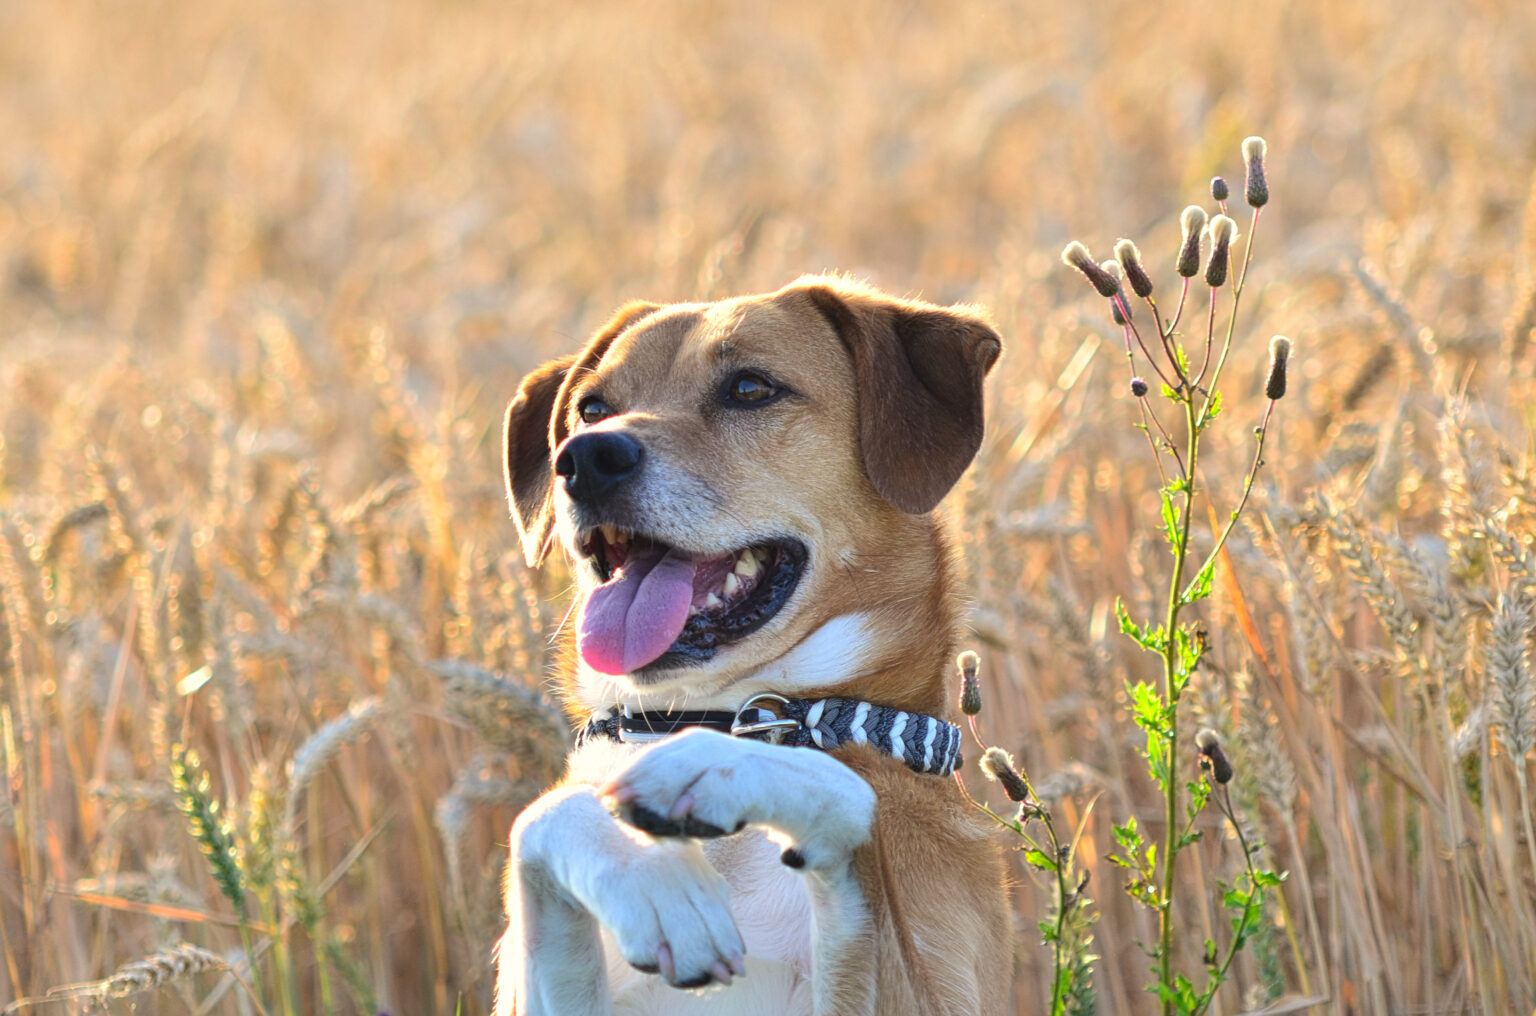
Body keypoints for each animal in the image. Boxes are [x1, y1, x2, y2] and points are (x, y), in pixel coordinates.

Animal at [497, 273, 1013, 1008]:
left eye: (749, 388)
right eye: (591, 408)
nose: (586, 459)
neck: (706, 710)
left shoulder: (918, 989)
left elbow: (846, 802)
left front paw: (706, 766)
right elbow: (543, 815)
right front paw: (653, 880)